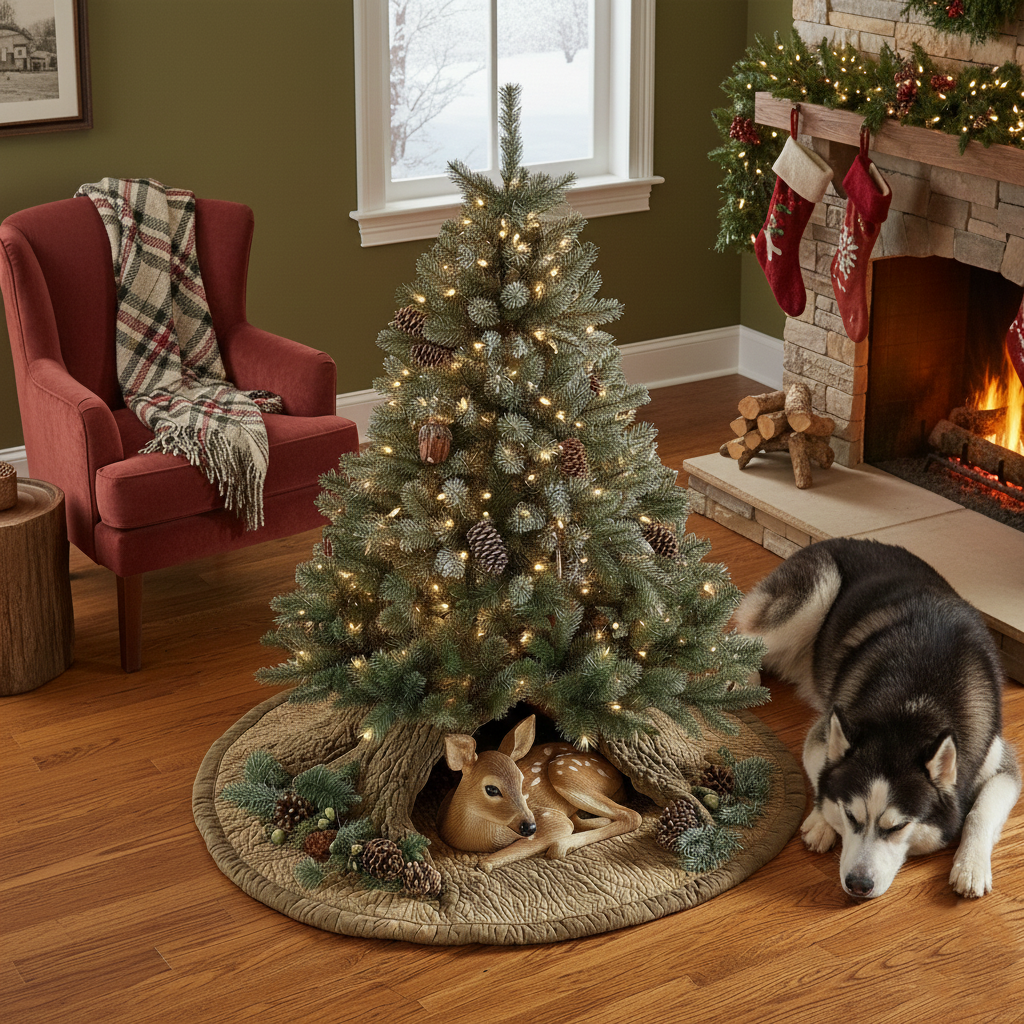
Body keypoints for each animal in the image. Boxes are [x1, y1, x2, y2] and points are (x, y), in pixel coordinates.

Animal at [437, 714, 642, 871]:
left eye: (521, 781)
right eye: (492, 789)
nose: (530, 827)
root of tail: (618, 774)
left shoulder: (550, 818)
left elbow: (492, 860)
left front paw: (486, 862)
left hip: (565, 772)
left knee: (632, 816)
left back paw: (562, 845)